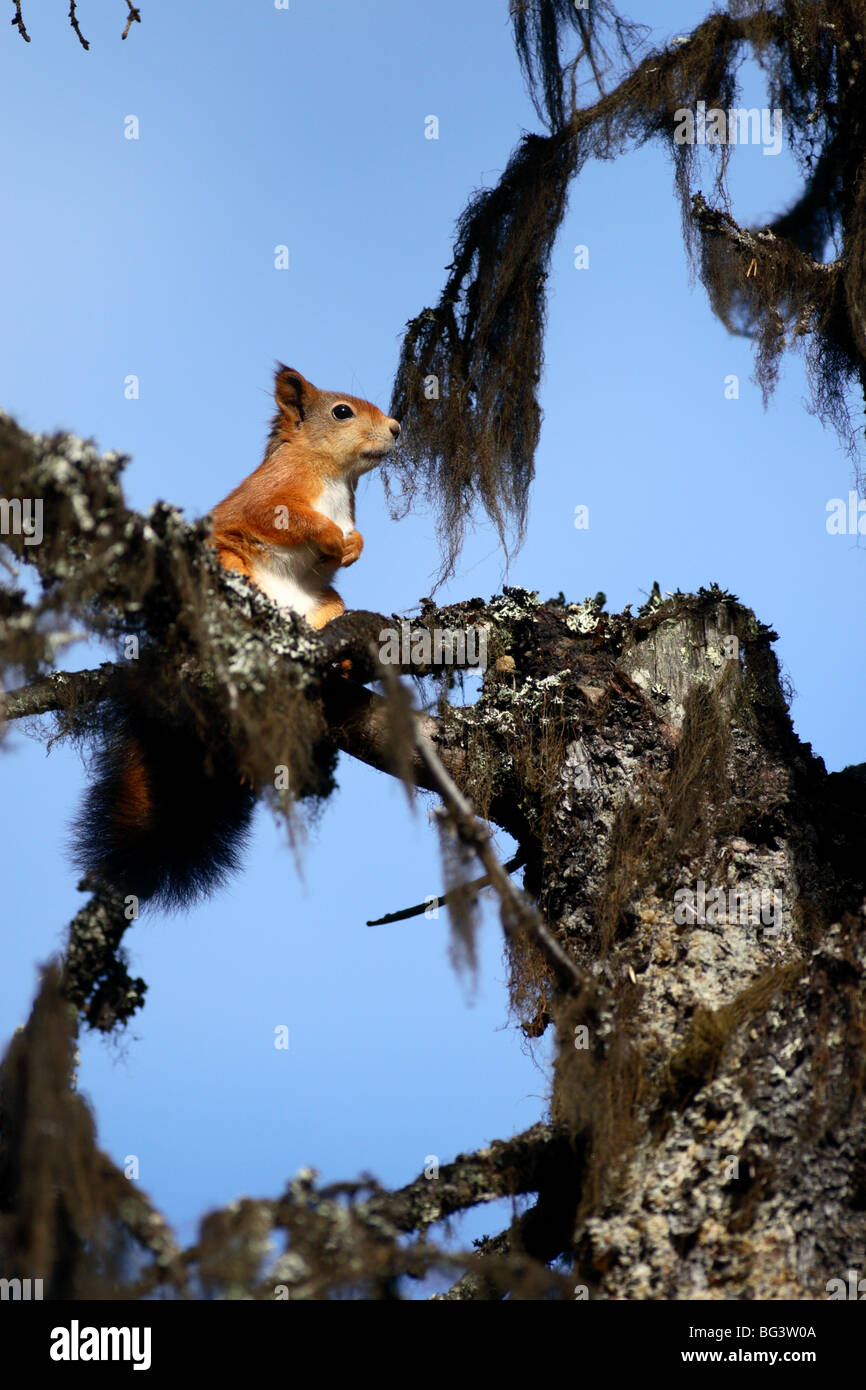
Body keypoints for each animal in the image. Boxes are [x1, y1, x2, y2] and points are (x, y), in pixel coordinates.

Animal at [73, 365, 400, 909]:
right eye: (342, 412)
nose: (397, 429)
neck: (333, 477)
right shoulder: (268, 499)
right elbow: (283, 519)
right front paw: (331, 537)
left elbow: (349, 544)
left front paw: (352, 546)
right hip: (225, 567)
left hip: (324, 604)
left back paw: (341, 663)